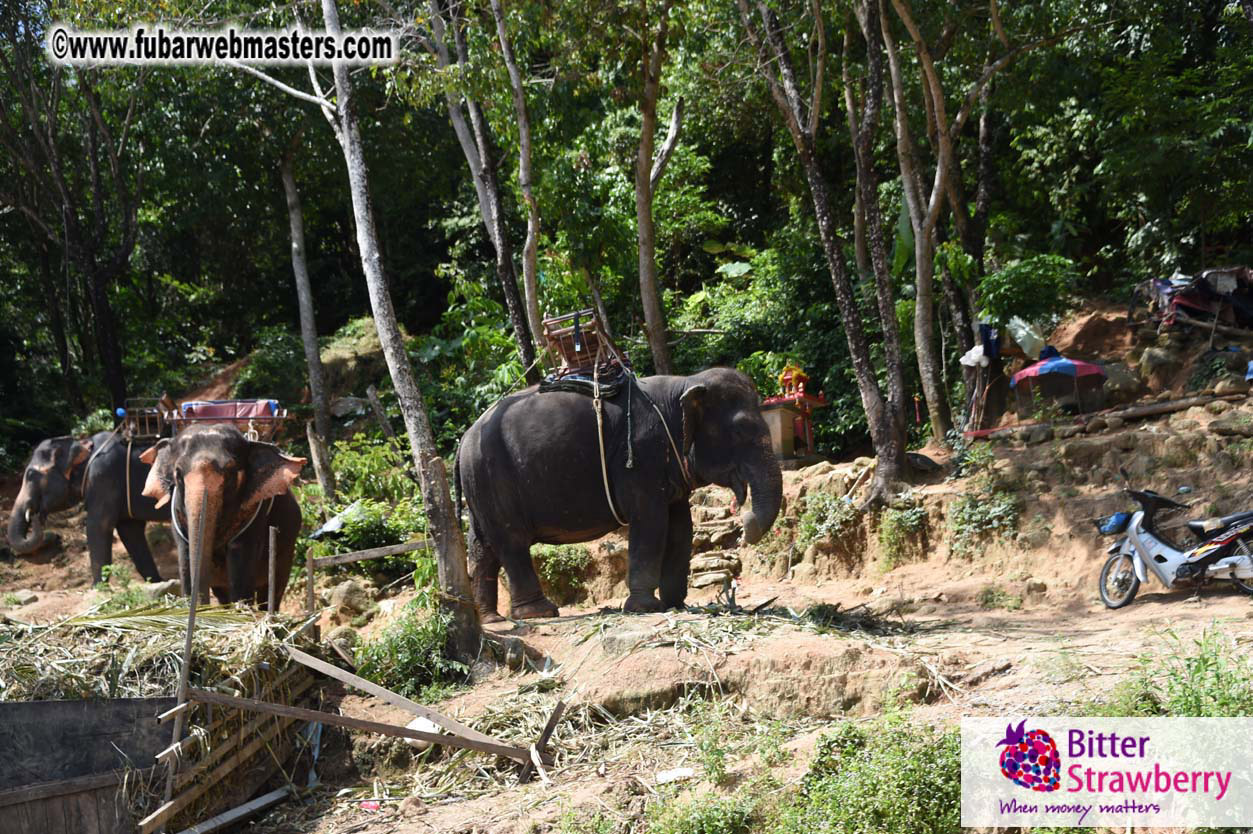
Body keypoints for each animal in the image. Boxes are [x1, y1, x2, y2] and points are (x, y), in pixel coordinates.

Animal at [8, 432, 168, 583]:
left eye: (31, 475)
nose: (35, 514)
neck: (84, 443)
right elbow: (130, 531)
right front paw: (157, 582)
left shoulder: (103, 476)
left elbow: (97, 526)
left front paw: (98, 588)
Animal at [139, 424, 305, 608]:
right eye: (178, 473)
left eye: (230, 471)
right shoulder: (177, 518)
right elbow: (186, 565)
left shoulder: (255, 518)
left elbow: (240, 579)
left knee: (271, 591)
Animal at [456, 366, 783, 621]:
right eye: (740, 431)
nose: (744, 525)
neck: (685, 383)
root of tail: (463, 440)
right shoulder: (638, 457)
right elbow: (651, 521)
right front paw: (645, 607)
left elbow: (681, 527)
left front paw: (676, 605)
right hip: (493, 479)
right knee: (512, 542)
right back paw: (539, 613)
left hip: (481, 488)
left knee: (483, 546)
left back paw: (492, 618)